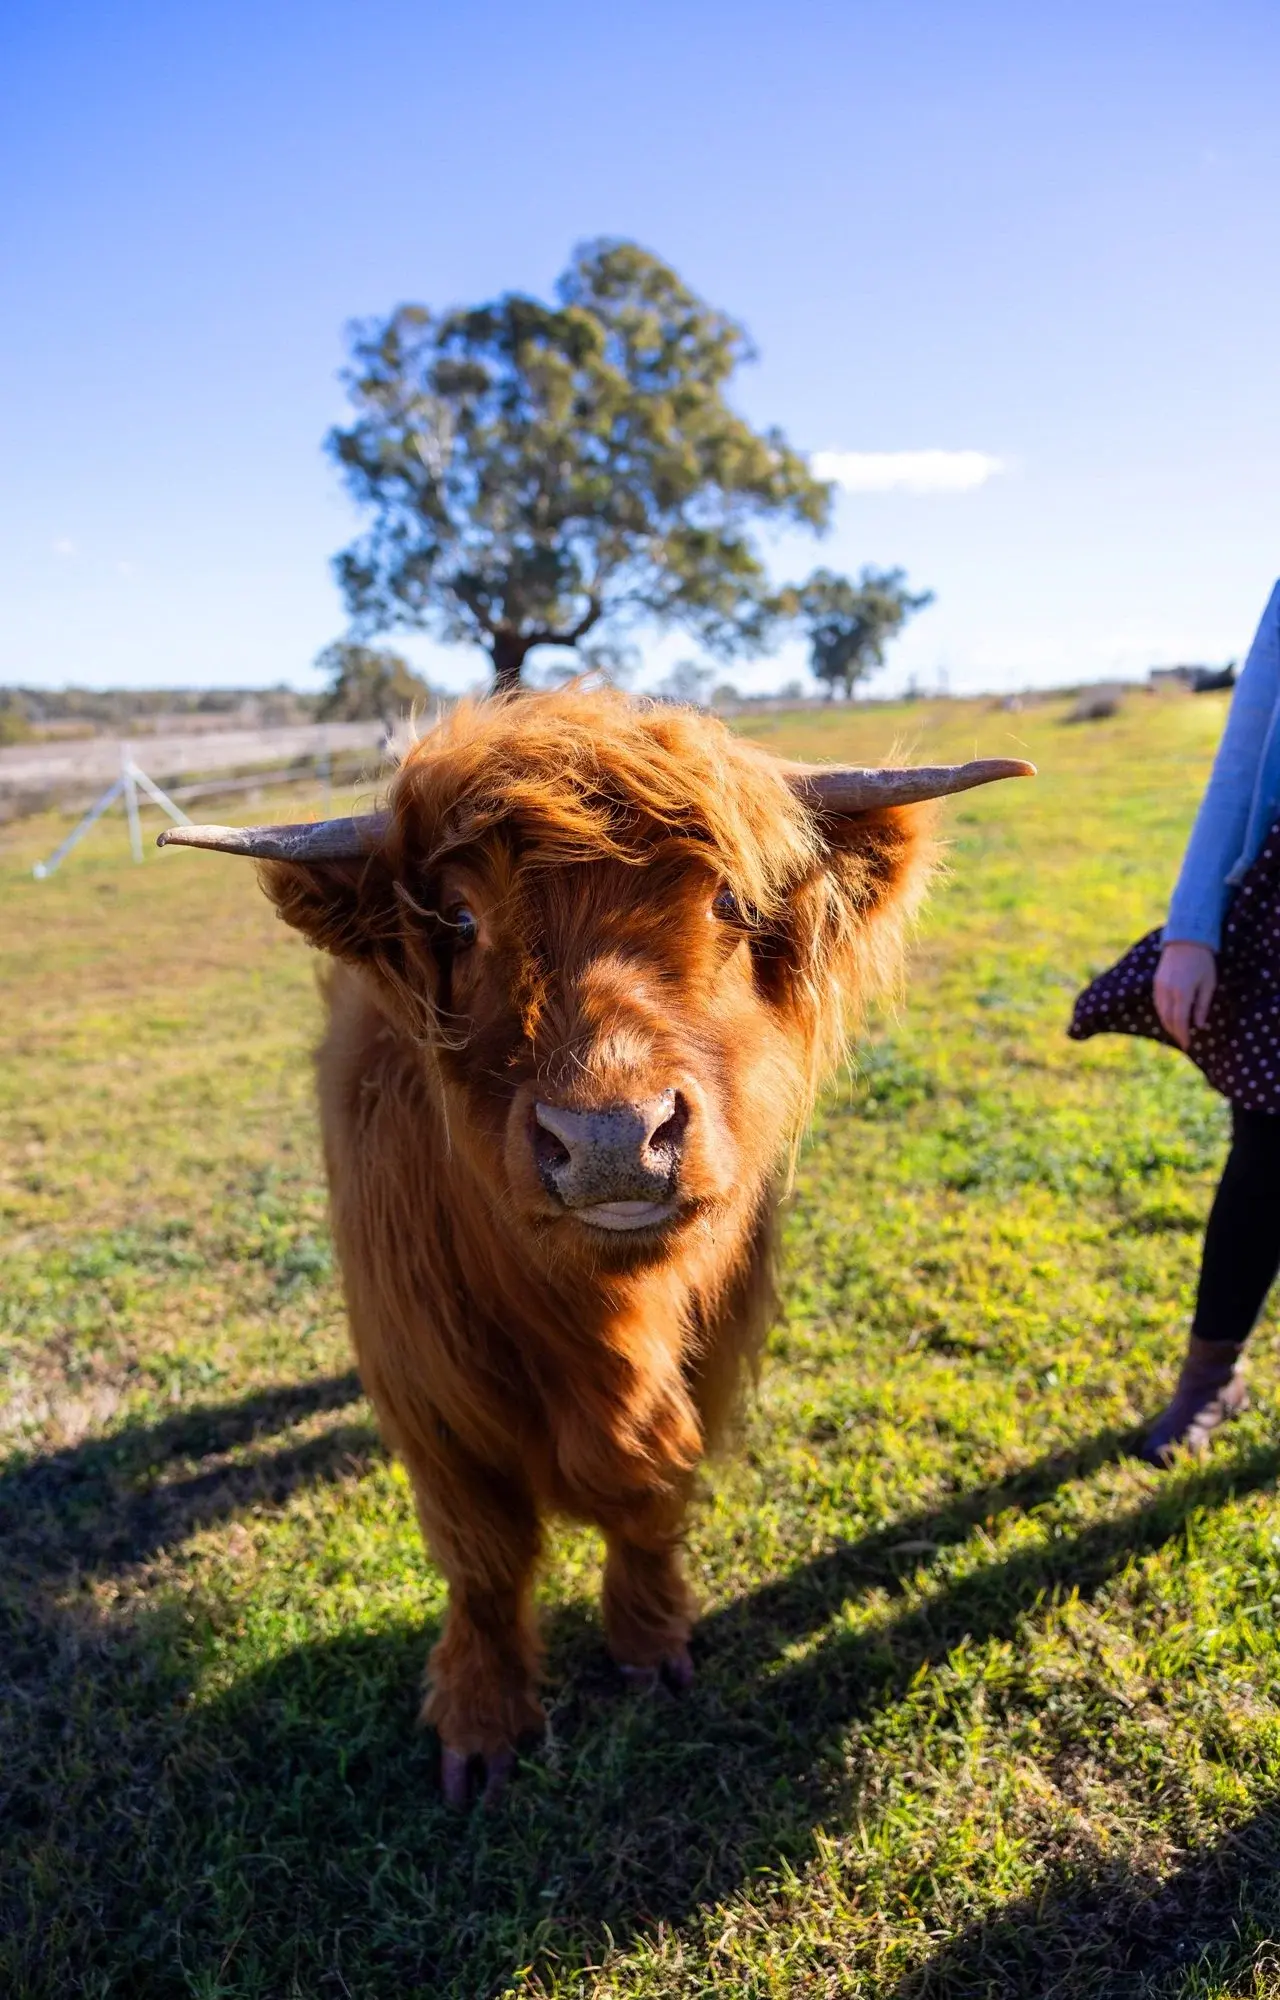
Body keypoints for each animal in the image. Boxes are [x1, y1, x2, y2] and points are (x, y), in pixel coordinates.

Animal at [161, 686, 1031, 1804]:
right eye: (460, 918)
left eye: (725, 902)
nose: (614, 1137)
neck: (606, 1326)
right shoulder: (427, 1379)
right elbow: (483, 1558)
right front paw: (481, 1719)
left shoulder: (708, 1352)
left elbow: (653, 1496)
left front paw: (651, 1641)